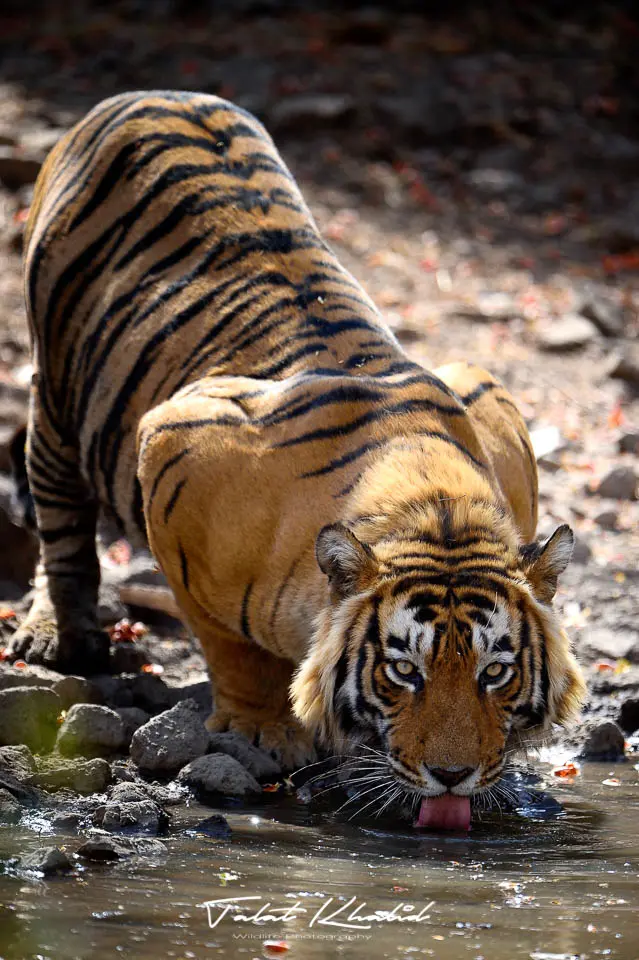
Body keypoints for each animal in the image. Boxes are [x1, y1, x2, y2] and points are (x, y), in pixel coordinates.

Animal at [6, 90, 585, 828]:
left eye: (495, 672)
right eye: (404, 670)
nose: (452, 776)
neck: (437, 511)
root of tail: (153, 93)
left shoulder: (490, 396)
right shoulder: (174, 445)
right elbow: (229, 644)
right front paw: (264, 729)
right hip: (55, 392)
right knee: (61, 519)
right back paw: (58, 634)